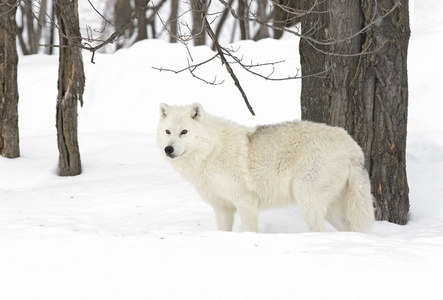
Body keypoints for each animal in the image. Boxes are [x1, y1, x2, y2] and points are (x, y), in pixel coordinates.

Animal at [158, 102, 376, 232]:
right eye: (168, 131)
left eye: (184, 132)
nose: (168, 149)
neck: (211, 151)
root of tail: (353, 146)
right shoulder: (222, 207)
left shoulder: (245, 201)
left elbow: (250, 230)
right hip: (331, 208)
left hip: (306, 199)